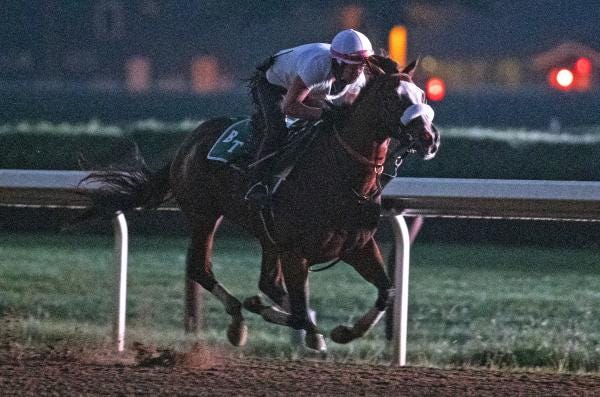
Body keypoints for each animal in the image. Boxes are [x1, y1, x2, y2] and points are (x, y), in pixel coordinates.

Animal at [82, 58, 440, 350]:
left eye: (422, 95)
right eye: (394, 98)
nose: (430, 138)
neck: (341, 176)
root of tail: (189, 141)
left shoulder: (358, 246)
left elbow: (387, 291)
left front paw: (343, 332)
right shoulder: (296, 253)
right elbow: (298, 312)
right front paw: (271, 314)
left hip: (266, 233)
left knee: (268, 282)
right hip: (204, 213)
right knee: (201, 268)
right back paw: (238, 323)